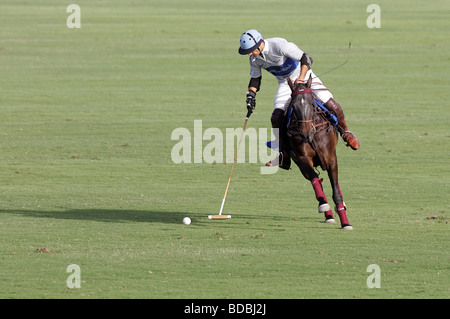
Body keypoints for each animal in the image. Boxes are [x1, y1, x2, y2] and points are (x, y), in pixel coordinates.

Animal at [286, 77, 354, 230]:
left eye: (311, 103)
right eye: (294, 106)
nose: (305, 133)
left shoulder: (331, 158)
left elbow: (336, 191)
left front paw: (346, 223)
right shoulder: (302, 159)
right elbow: (315, 179)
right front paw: (323, 205)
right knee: (318, 182)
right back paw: (328, 214)